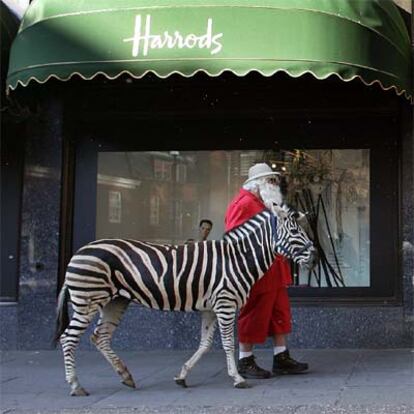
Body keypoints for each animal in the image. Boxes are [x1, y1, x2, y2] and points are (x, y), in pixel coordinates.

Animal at [53, 204, 316, 394]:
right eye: (295, 232)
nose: (314, 257)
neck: (237, 258)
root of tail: (78, 252)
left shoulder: (211, 308)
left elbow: (205, 344)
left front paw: (182, 375)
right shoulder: (226, 303)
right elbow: (228, 343)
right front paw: (238, 378)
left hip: (114, 301)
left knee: (100, 337)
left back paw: (126, 376)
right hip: (88, 300)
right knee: (69, 338)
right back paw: (76, 385)